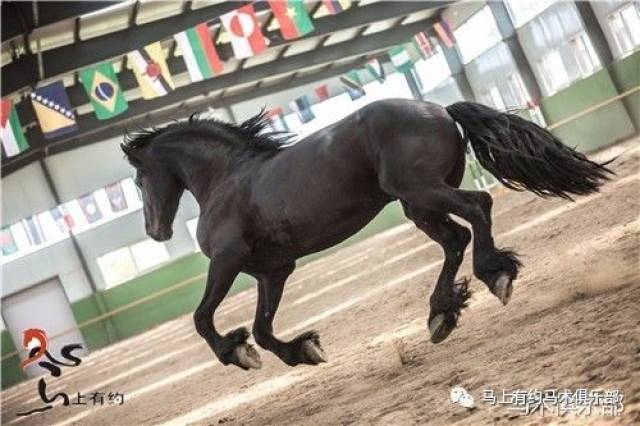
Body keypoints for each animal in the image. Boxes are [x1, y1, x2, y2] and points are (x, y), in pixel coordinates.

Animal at [124, 99, 608, 370]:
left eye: (138, 178)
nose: (154, 230)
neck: (226, 178)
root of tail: (438, 109)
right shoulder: (273, 271)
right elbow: (262, 328)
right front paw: (302, 351)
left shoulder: (227, 261)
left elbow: (202, 317)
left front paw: (237, 354)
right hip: (418, 205)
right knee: (455, 240)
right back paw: (441, 314)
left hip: (420, 190)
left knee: (478, 208)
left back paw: (496, 275)